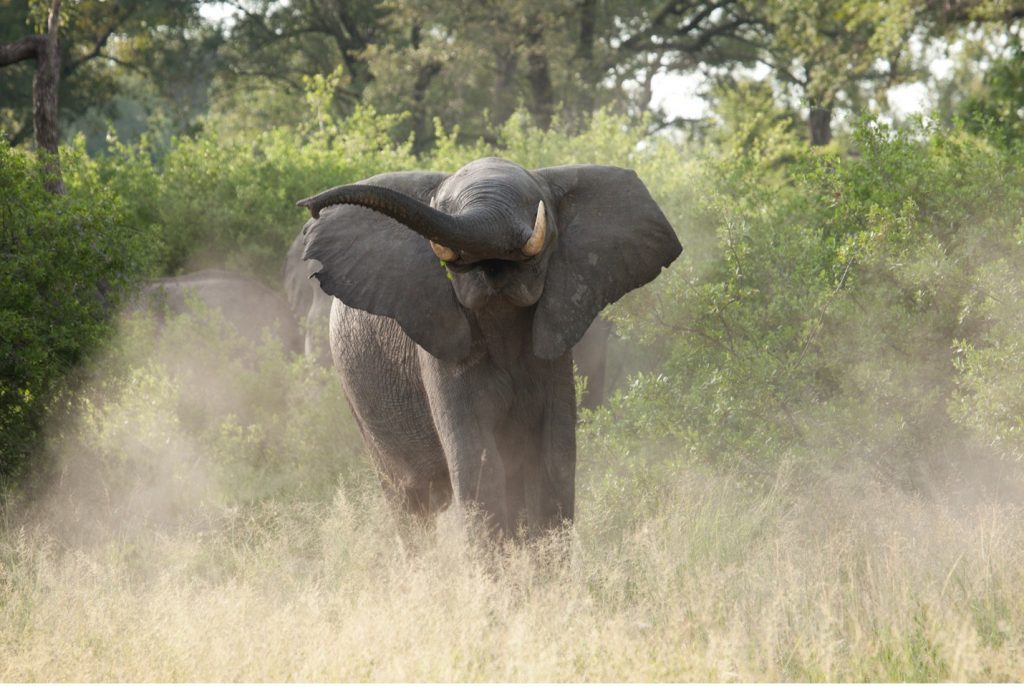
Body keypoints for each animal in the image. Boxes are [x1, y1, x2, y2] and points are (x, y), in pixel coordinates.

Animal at [296, 158, 679, 540]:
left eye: (535, 204)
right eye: (442, 207)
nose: (310, 205)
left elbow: (553, 454)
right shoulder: (442, 347)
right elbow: (475, 455)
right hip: (359, 401)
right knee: (409, 501)